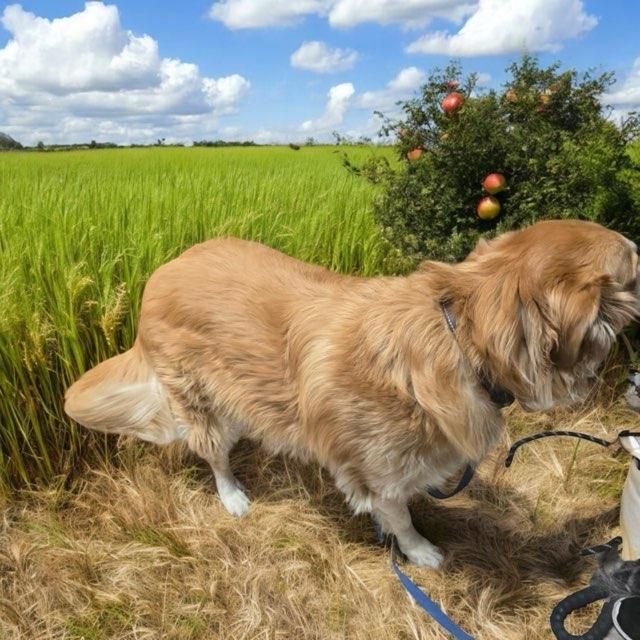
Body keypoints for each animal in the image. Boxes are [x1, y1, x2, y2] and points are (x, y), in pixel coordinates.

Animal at [66, 220, 640, 564]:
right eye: (635, 261)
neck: (458, 336)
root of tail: (161, 272)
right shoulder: (376, 472)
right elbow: (400, 516)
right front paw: (419, 553)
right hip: (200, 400)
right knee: (214, 454)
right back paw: (232, 495)